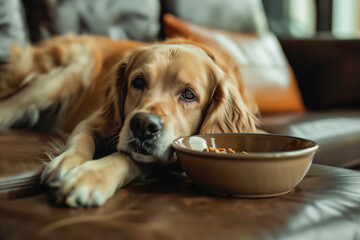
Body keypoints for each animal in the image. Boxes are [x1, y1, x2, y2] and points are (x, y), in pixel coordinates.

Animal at [0, 34, 258, 207]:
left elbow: (128, 159)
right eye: (138, 82)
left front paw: (89, 176)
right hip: (73, 69)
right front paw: (68, 162)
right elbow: (82, 139)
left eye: (188, 94)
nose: (143, 126)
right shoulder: (98, 121)